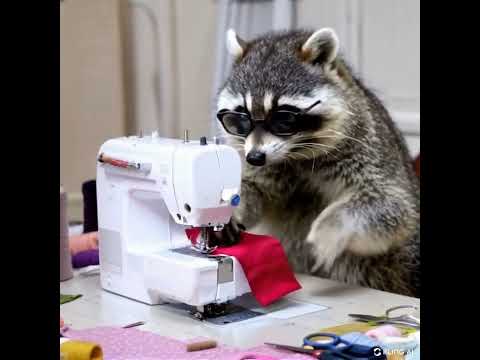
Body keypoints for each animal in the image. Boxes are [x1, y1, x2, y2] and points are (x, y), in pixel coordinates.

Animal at [212, 28, 418, 298]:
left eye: (283, 118)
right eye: (241, 119)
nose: (255, 157)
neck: (294, 154)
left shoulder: (369, 146)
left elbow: (391, 204)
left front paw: (331, 228)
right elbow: (253, 190)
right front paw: (230, 209)